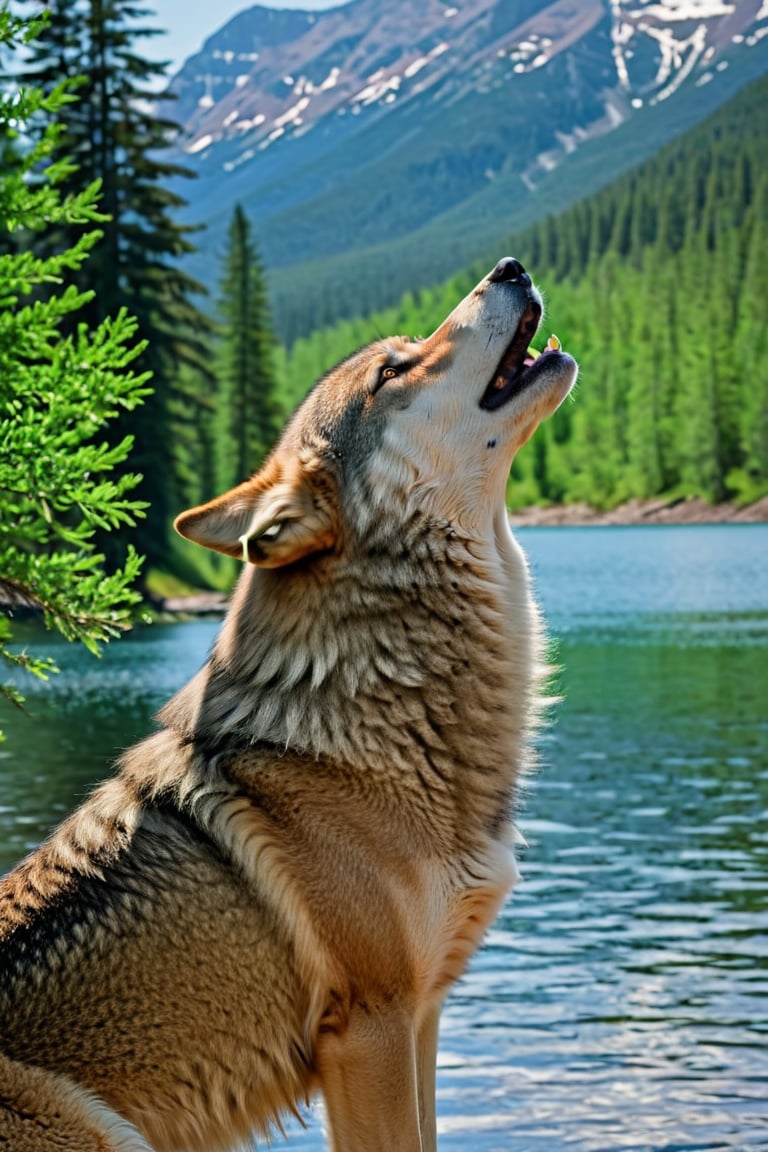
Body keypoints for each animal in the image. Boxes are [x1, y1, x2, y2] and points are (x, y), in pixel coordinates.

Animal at [0, 257, 577, 1152]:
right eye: (392, 371)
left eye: (404, 350)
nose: (509, 267)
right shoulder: (372, 1031)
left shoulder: (424, 1018)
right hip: (104, 1132)